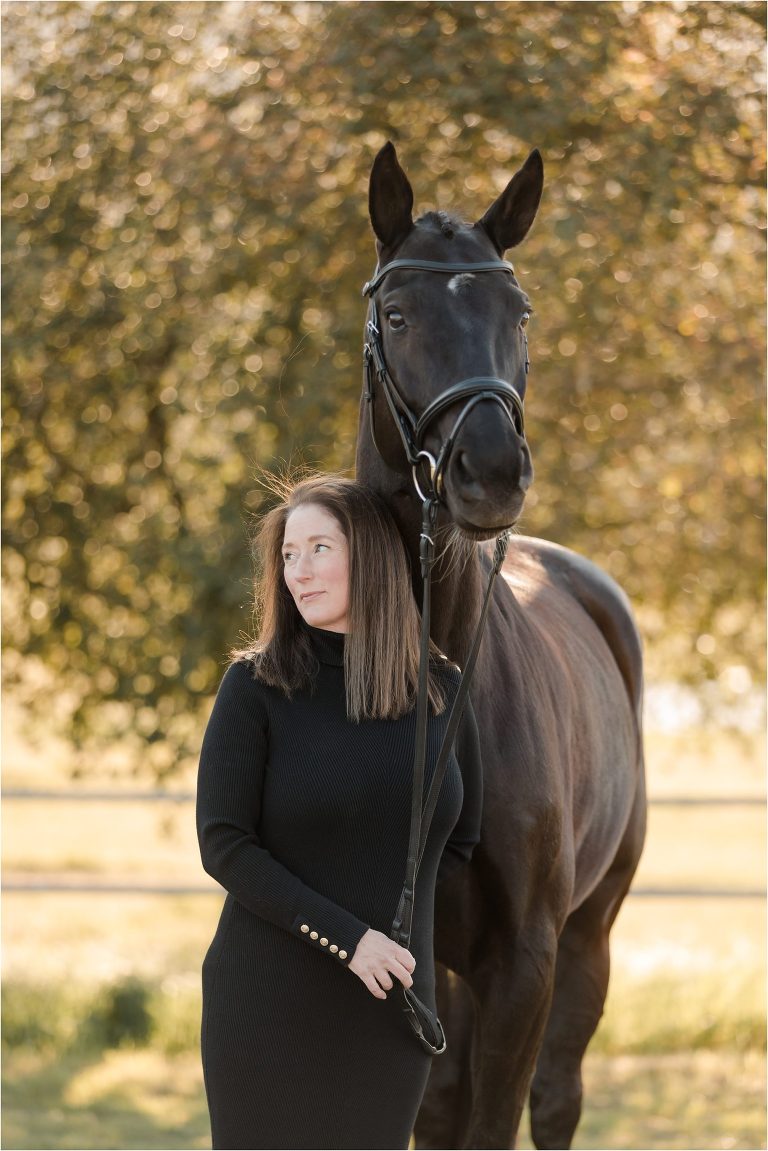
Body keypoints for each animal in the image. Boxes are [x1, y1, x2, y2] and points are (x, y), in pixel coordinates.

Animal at [354, 142, 646, 1150]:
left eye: (517, 314)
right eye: (397, 314)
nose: (490, 472)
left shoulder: (526, 960)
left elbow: (499, 1116)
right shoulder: (409, 959)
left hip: (591, 933)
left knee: (556, 1098)